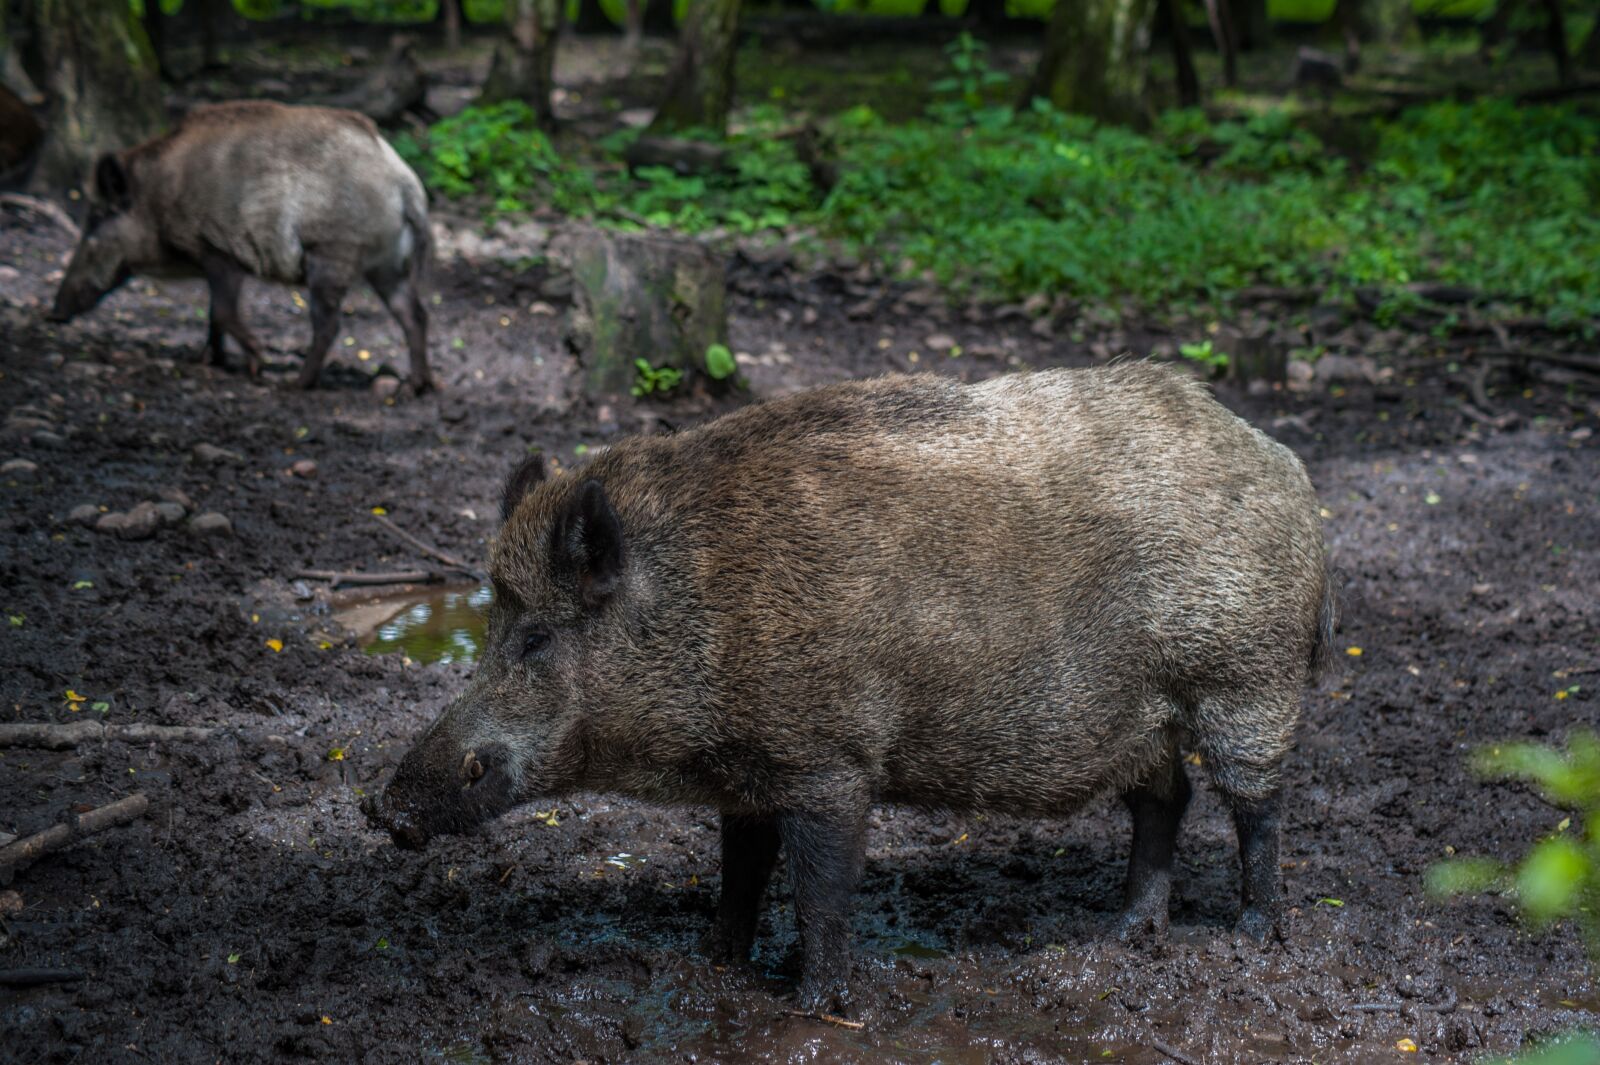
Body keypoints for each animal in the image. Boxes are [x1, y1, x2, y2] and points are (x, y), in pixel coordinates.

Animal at [48, 100, 433, 393]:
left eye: (96, 221)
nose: (54, 313)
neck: (157, 201)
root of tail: (404, 184)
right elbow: (212, 313)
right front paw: (208, 361)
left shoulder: (219, 249)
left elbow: (222, 310)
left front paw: (255, 364)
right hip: (387, 265)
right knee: (414, 314)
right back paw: (416, 386)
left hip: (333, 253)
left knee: (329, 323)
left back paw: (295, 384)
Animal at [365, 364, 1336, 1010]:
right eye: (491, 622)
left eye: (535, 637)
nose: (384, 808)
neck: (703, 608)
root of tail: (1285, 465)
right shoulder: (747, 773)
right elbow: (741, 870)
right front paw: (715, 961)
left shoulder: (828, 760)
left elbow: (821, 890)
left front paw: (813, 1005)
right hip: (1145, 717)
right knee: (1164, 800)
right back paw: (1124, 932)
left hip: (1248, 676)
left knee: (1257, 804)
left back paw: (1251, 935)